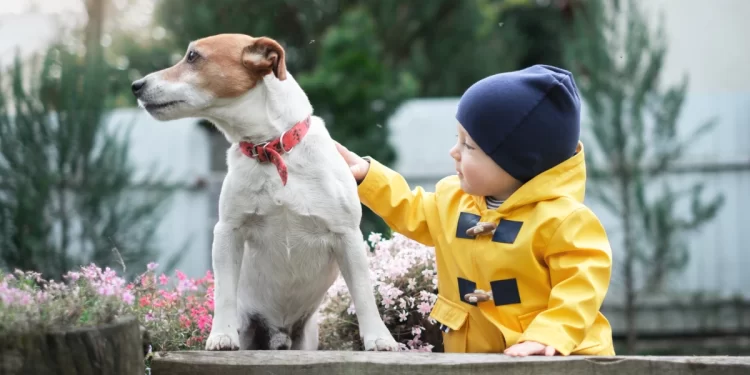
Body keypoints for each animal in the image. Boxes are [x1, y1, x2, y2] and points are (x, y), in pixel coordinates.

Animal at [131, 33, 400, 352]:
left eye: (193, 56)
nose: (136, 85)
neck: (271, 149)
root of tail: (279, 333)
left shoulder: (347, 236)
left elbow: (362, 292)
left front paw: (379, 338)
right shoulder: (228, 232)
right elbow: (224, 292)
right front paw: (221, 335)